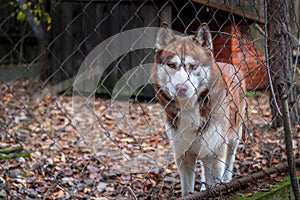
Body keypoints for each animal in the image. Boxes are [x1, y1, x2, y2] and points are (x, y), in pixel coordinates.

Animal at [152, 23, 246, 195]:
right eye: (171, 65)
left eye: (193, 66)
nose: (181, 88)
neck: (189, 109)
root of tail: (228, 64)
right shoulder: (183, 155)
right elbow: (187, 189)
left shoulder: (216, 152)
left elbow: (215, 181)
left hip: (234, 137)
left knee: (230, 159)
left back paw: (227, 180)